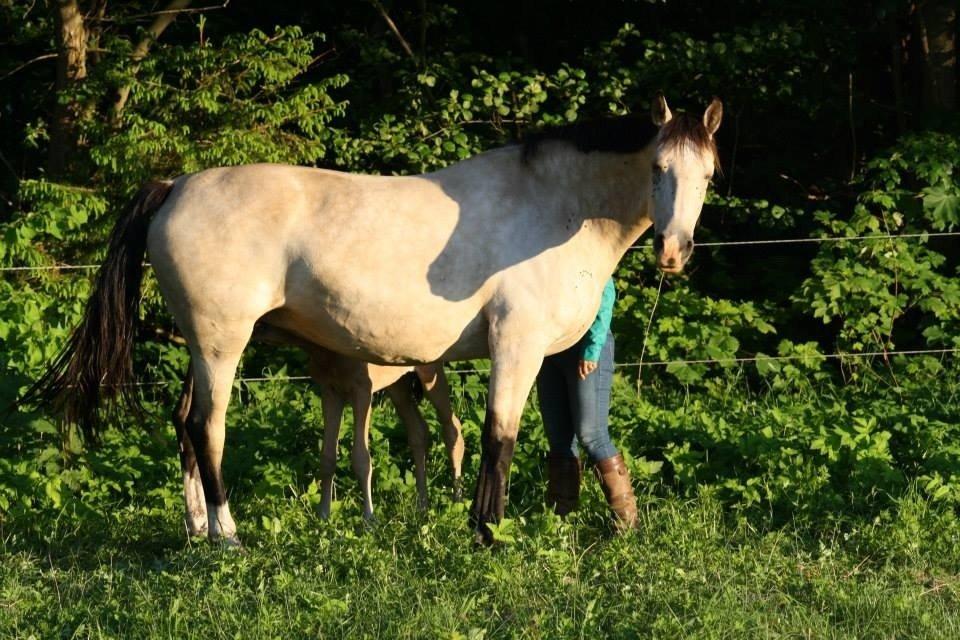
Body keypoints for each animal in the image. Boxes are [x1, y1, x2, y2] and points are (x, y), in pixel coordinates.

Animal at [172, 328, 464, 532]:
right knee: (419, 431)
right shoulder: (331, 393)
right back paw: (422, 505)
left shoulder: (362, 392)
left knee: (453, 429)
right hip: (398, 385)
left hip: (428, 372)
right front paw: (324, 515)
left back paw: (457, 500)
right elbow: (327, 458)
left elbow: (361, 458)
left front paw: (369, 519)